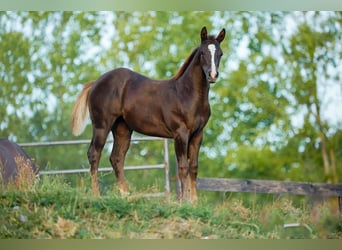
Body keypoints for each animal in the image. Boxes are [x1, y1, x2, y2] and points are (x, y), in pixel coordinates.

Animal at [71, 26, 226, 204]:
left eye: (220, 53)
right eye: (202, 53)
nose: (212, 75)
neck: (187, 94)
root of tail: (95, 82)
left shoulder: (198, 134)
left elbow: (193, 167)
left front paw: (194, 203)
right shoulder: (180, 134)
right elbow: (183, 167)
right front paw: (183, 203)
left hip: (122, 128)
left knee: (116, 158)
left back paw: (126, 195)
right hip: (101, 125)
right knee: (94, 154)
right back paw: (96, 195)